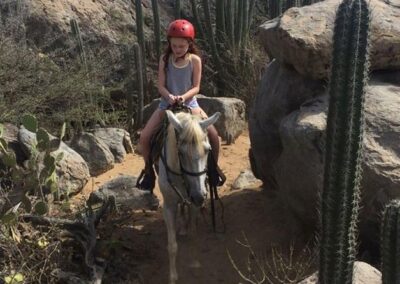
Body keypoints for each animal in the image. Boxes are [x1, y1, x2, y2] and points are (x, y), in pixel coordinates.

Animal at [158, 110, 220, 282]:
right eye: (180, 152)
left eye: (208, 150)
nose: (199, 196)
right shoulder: (168, 206)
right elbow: (172, 245)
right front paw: (172, 277)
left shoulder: (194, 204)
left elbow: (194, 235)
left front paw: (195, 265)